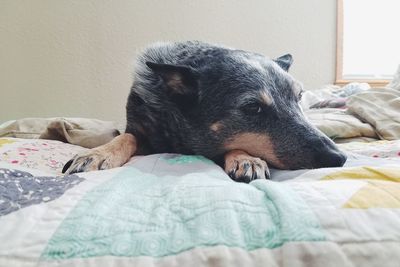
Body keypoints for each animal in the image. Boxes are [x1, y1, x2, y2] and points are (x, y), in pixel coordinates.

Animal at [62, 40, 346, 183]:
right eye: (252, 108)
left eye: (299, 97)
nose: (339, 158)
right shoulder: (141, 130)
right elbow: (125, 137)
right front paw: (98, 154)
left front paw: (246, 158)